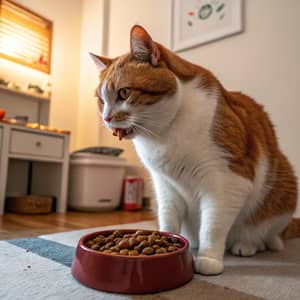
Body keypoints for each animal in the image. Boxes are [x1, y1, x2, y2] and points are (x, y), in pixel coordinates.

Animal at [90, 25, 298, 274]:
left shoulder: (229, 181)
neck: (164, 134)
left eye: (123, 93)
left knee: (266, 236)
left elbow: (213, 225)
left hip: (283, 188)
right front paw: (166, 239)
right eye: (101, 100)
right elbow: (168, 217)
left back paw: (246, 244)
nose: (106, 118)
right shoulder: (164, 185)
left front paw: (208, 259)